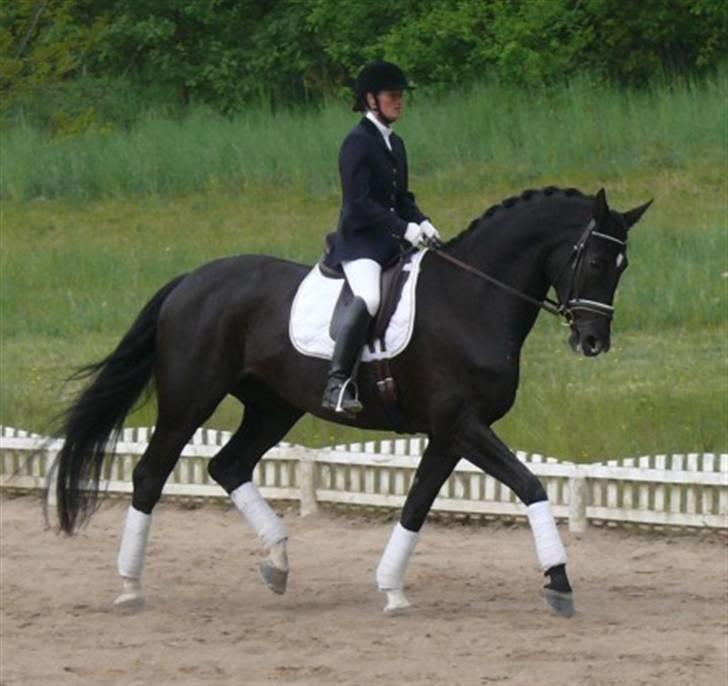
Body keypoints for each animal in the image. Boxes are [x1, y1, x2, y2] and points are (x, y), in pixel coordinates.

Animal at [54, 187, 652, 620]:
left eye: (623, 266)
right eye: (595, 260)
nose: (593, 342)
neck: (473, 300)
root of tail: (190, 281)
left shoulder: (450, 433)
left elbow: (416, 504)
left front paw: (392, 590)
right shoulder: (463, 424)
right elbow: (530, 485)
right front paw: (559, 582)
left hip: (274, 408)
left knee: (228, 465)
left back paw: (277, 563)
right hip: (189, 401)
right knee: (151, 474)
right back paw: (131, 587)